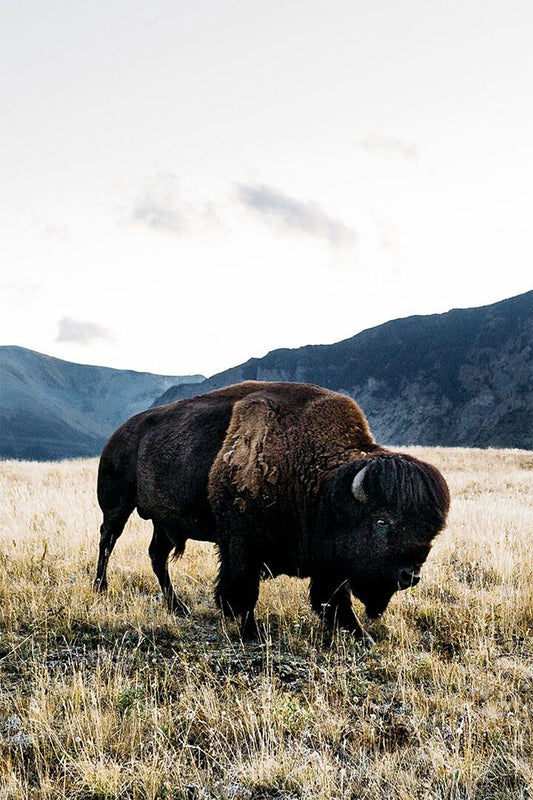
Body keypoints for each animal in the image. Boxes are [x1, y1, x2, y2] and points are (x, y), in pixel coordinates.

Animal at [95, 381, 449, 641]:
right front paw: (251, 632)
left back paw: (178, 607)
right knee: (107, 541)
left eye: (431, 531)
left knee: (157, 556)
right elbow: (243, 591)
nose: (410, 576)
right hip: (116, 505)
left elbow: (335, 598)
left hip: (164, 522)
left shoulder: (328, 561)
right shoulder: (242, 545)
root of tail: (120, 433)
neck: (322, 484)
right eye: (381, 521)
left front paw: (363, 636)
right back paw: (101, 589)